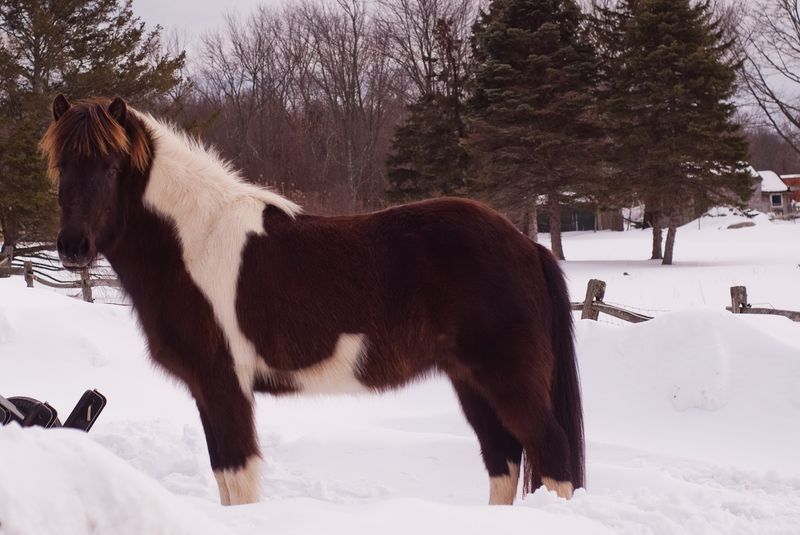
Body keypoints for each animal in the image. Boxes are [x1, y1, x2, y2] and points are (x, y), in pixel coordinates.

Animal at [41, 95, 584, 506]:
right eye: (61, 166)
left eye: (112, 166)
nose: (73, 248)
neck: (193, 239)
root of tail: (527, 245)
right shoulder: (208, 390)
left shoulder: (224, 385)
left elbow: (239, 482)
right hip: (470, 380)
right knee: (503, 461)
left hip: (507, 379)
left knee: (552, 455)